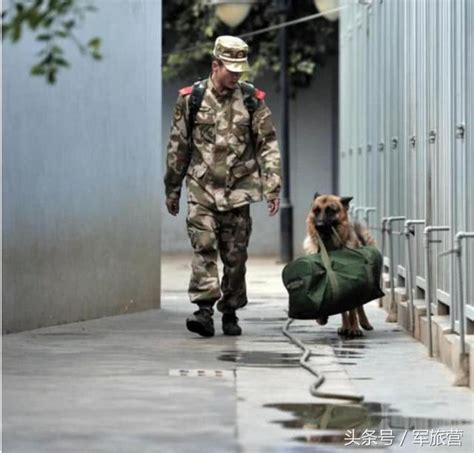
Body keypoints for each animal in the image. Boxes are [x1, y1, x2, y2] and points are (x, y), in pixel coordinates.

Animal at [304, 192, 374, 338]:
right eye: (316, 210)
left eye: (330, 210)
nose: (319, 226)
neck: (330, 247)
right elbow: (341, 308)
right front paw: (324, 318)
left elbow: (353, 309)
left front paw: (354, 328)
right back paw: (345, 326)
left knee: (359, 306)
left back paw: (363, 323)